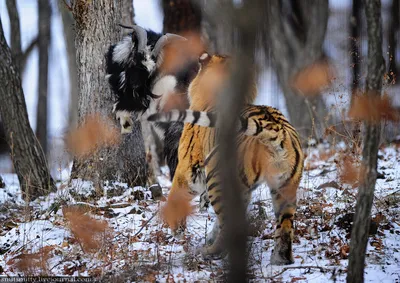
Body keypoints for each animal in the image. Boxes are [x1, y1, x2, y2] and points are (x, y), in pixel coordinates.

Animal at [148, 51, 304, 266]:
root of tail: (276, 130)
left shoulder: (188, 170)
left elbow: (175, 196)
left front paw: (176, 229)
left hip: (218, 179)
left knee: (228, 223)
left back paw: (210, 252)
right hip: (285, 189)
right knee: (285, 227)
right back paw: (280, 259)